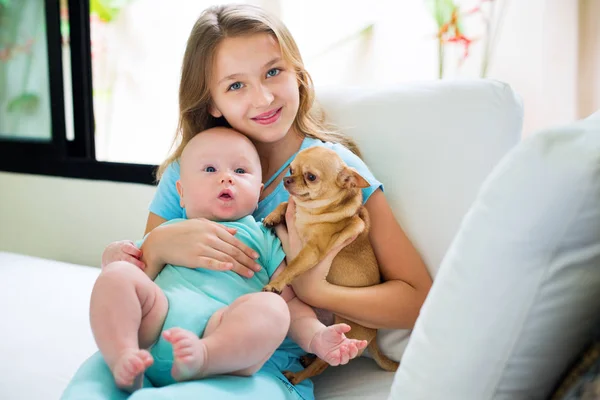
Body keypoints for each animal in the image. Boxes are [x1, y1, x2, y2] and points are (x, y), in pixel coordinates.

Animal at [264, 146, 398, 384]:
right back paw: (307, 357)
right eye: (291, 169)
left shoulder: (311, 251)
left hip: (343, 335)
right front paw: (273, 216)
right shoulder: (294, 210)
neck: (310, 212)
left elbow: (293, 265)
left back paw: (297, 376)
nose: (287, 179)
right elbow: (285, 203)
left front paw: (276, 284)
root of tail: (374, 335)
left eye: (311, 177)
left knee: (320, 365)